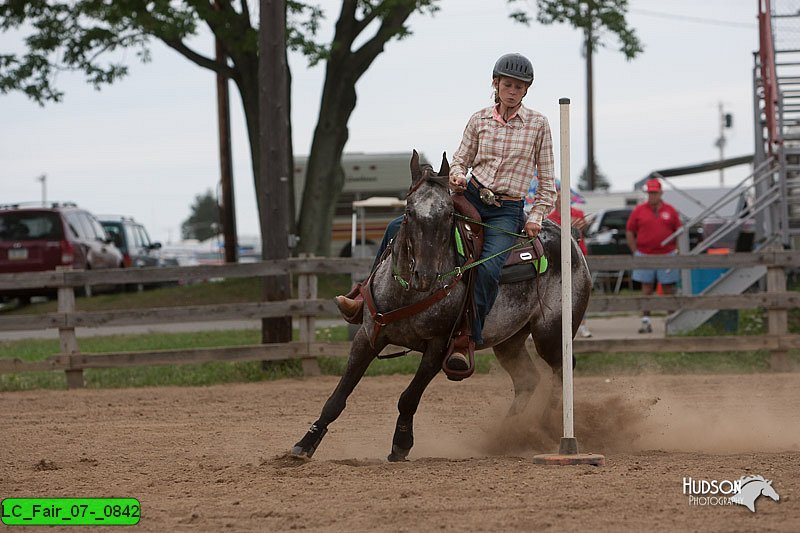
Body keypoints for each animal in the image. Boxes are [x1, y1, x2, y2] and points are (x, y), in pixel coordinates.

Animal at [290, 151, 592, 462]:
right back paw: (509, 434)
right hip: (509, 340)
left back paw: (543, 429)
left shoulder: (438, 346)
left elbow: (408, 398)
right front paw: (305, 443)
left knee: (561, 371)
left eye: (448, 214)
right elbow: (338, 396)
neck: (408, 294)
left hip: (551, 333)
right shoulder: (368, 336)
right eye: (409, 211)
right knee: (528, 379)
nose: (425, 275)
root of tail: (570, 238)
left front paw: (401, 444)